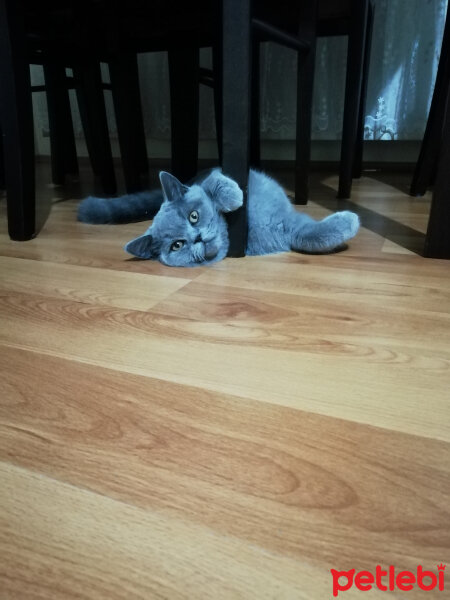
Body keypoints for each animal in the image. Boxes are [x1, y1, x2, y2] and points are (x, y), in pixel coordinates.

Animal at [77, 166, 358, 264]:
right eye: (177, 245)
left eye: (193, 216)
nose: (198, 237)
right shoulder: (290, 229)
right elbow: (310, 237)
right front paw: (350, 221)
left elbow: (213, 181)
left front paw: (233, 196)